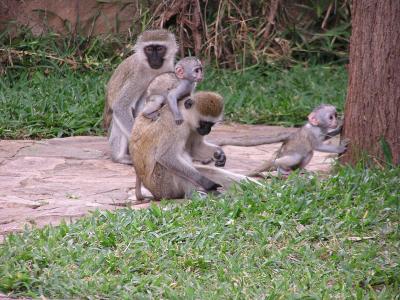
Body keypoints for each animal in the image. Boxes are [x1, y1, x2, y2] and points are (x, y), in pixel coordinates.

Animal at [105, 29, 177, 164]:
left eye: (160, 49)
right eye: (149, 49)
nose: (154, 59)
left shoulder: (169, 70)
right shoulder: (137, 76)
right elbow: (121, 106)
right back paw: (119, 157)